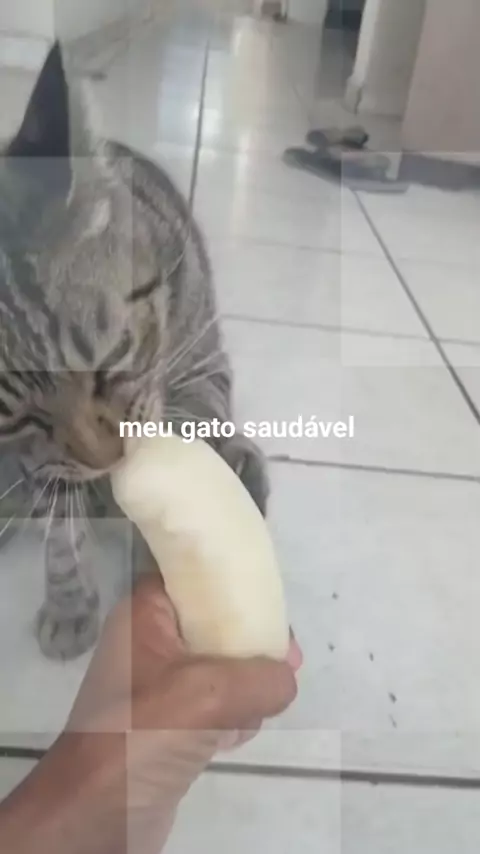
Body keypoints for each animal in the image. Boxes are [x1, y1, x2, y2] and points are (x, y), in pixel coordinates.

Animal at [0, 43, 268, 660]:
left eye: (113, 356)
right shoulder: (40, 461)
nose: (108, 460)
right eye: (15, 418)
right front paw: (69, 602)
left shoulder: (206, 366)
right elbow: (60, 529)